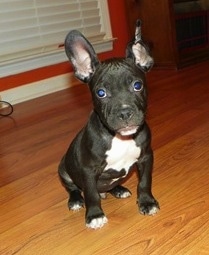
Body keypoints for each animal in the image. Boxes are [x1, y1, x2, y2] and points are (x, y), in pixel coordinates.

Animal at [58, 19, 159, 229]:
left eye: (137, 85)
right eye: (101, 93)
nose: (124, 111)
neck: (119, 138)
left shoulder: (146, 157)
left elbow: (145, 182)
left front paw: (147, 202)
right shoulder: (88, 171)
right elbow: (91, 194)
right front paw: (95, 215)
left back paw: (119, 189)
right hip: (63, 168)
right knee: (73, 188)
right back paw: (75, 200)